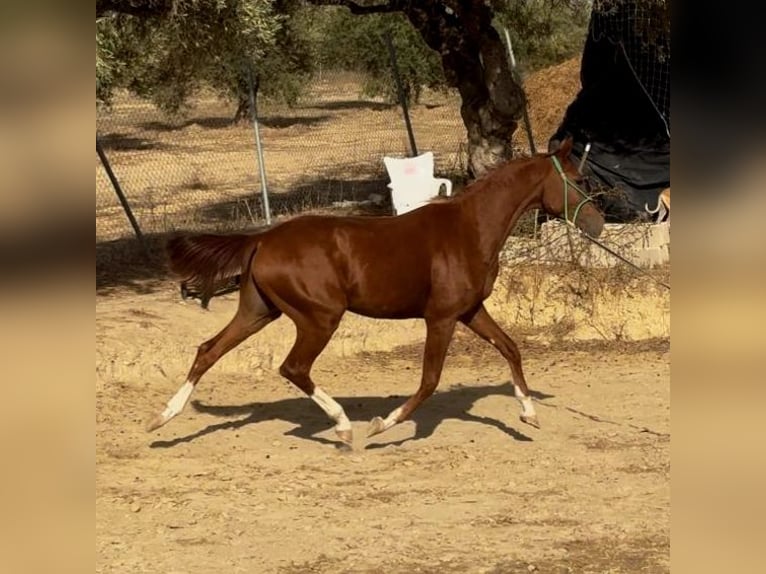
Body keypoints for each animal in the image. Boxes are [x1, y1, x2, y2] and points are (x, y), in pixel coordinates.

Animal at [148, 138, 608, 446]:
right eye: (580, 179)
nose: (598, 224)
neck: (470, 228)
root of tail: (262, 239)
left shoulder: (471, 310)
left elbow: (510, 348)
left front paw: (529, 414)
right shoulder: (441, 317)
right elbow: (429, 380)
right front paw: (382, 424)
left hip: (258, 311)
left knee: (208, 350)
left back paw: (162, 418)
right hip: (319, 318)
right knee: (293, 368)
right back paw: (344, 426)